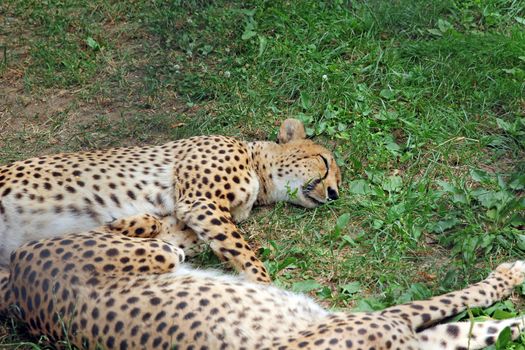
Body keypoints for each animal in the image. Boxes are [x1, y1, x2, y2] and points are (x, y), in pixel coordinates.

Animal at [0, 119, 340, 284]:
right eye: (324, 162)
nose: (335, 193)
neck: (255, 167)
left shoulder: (185, 219)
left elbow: (160, 230)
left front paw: (126, 225)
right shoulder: (201, 202)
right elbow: (246, 254)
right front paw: (266, 289)